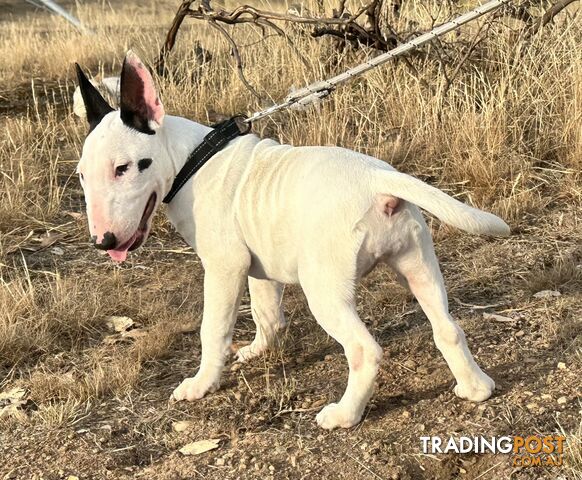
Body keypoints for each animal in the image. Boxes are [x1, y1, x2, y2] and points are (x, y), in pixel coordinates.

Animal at [74, 50, 512, 430]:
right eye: (81, 174)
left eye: (125, 168)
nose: (102, 241)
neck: (192, 160)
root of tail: (378, 180)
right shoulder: (258, 268)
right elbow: (267, 314)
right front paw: (258, 350)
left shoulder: (224, 268)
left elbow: (213, 329)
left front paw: (200, 384)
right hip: (418, 266)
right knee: (448, 328)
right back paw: (476, 387)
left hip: (326, 290)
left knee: (365, 351)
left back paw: (344, 415)